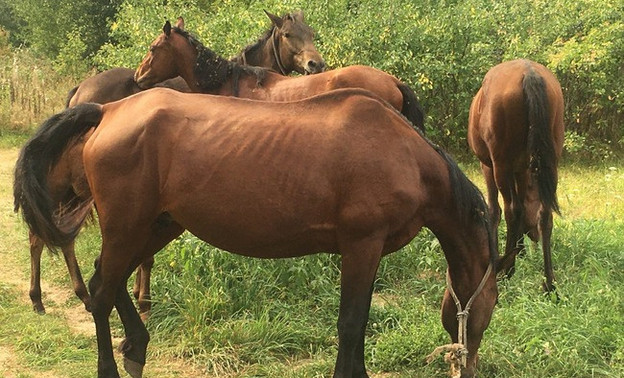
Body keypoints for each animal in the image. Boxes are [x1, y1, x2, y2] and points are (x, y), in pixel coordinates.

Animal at [15, 88, 498, 378]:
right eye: (490, 307)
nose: (470, 365)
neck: (405, 157)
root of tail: (108, 110)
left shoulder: (368, 251)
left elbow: (355, 324)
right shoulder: (362, 246)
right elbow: (351, 323)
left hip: (155, 227)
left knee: (105, 279)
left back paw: (135, 348)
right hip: (127, 226)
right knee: (99, 294)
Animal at [28, 10, 324, 318]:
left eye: (311, 33)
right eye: (288, 34)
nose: (316, 64)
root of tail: (80, 92)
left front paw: (139, 295)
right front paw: (143, 300)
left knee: (55, 236)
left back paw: (71, 296)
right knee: (45, 235)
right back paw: (45, 297)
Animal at [468, 58, 564, 292]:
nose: (534, 237)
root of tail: (529, 73)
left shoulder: (488, 166)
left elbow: (495, 210)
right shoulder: (521, 170)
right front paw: (518, 250)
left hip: (500, 165)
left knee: (512, 209)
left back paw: (506, 271)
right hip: (551, 161)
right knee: (545, 214)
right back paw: (549, 281)